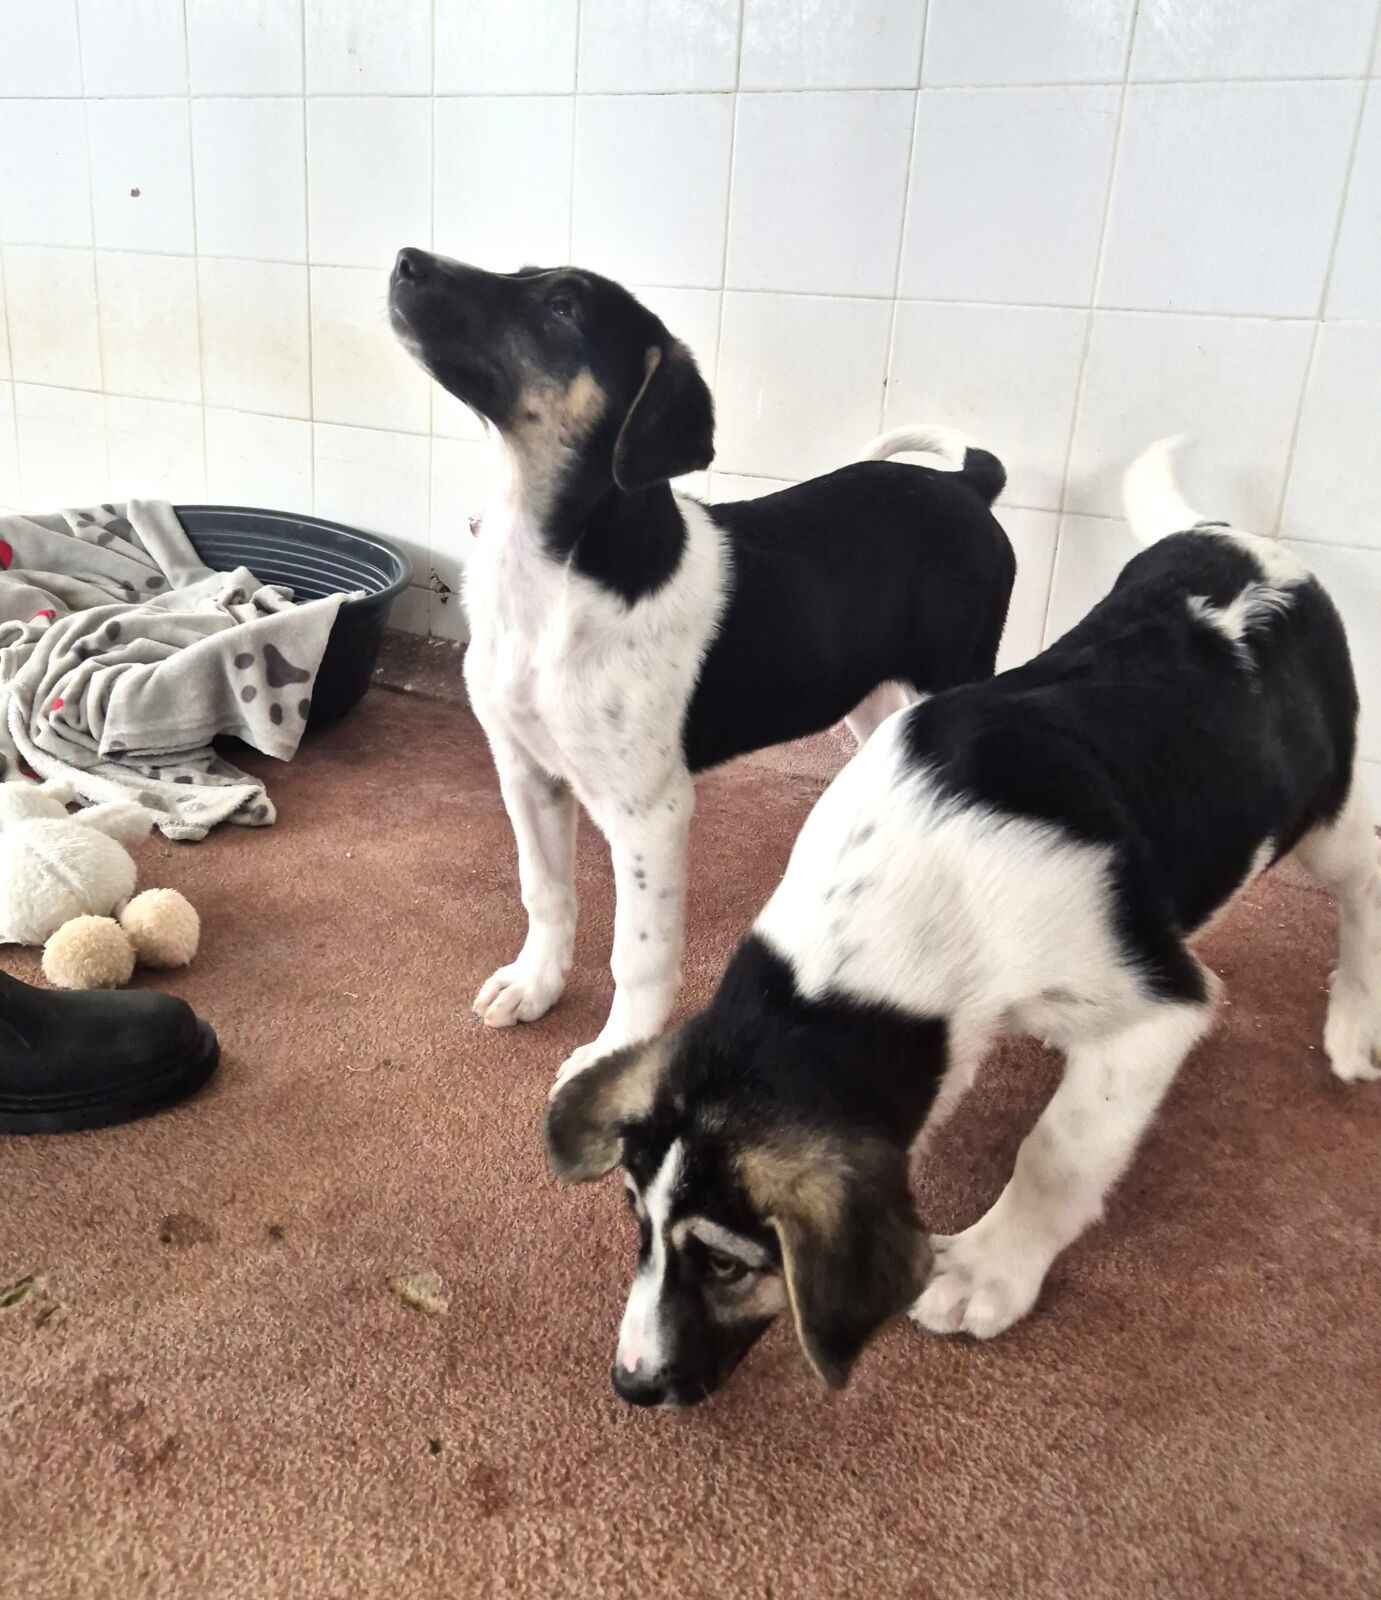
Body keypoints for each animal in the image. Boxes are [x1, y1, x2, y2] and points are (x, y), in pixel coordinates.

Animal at [388, 250, 1015, 1079]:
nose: (405, 262)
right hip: (875, 695)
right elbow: (544, 895)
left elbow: (639, 955)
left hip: (952, 673)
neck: (551, 572)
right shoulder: (525, 771)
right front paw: (535, 985)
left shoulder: (648, 813)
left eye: (562, 307)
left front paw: (614, 1050)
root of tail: (965, 485)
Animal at [545, 437, 1380, 1407]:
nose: (631, 1386)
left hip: (1324, 814)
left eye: (726, 1264)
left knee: (1362, 880)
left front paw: (989, 1270)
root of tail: (1234, 539)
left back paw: (1353, 1019)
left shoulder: (1158, 1013)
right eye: (637, 1227)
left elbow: (1058, 1150)